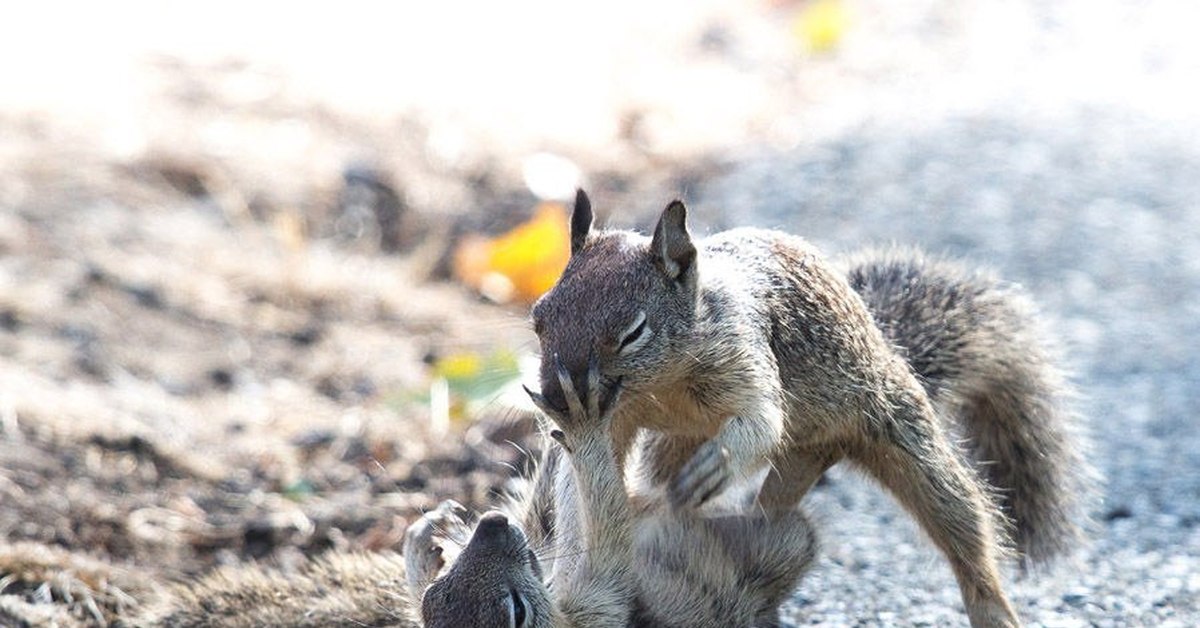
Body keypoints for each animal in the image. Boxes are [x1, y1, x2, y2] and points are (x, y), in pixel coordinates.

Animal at [528, 192, 1099, 628]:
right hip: (681, 449)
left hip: (902, 433)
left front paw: (718, 464)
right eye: (538, 317)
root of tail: (825, 446)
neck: (661, 385)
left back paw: (992, 607)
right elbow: (582, 477)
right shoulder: (617, 420)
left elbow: (762, 422)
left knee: (963, 527)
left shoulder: (744, 349)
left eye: (633, 332)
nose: (554, 395)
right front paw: (574, 550)